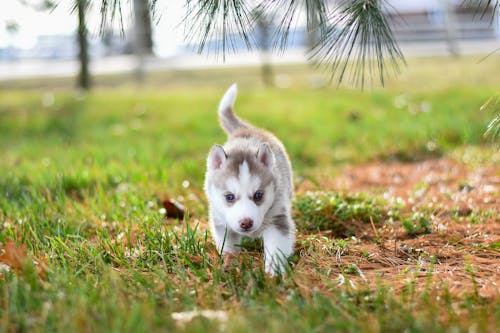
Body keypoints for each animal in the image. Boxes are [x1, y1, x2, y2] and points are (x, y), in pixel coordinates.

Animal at [204, 83, 296, 274]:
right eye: (229, 197)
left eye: (258, 195)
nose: (246, 223)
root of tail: (245, 129)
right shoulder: (222, 222)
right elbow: (228, 246)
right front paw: (230, 263)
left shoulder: (277, 219)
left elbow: (275, 248)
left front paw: (274, 272)